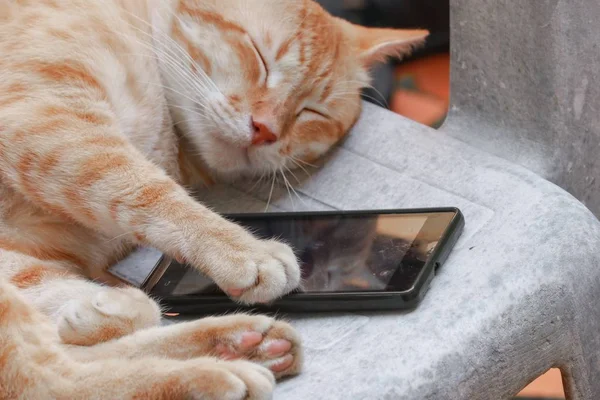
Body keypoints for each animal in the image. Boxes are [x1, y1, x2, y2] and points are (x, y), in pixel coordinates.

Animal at [0, 0, 426, 396]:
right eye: (260, 57)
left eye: (311, 111)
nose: (265, 129)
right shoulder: (44, 112)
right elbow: (139, 184)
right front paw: (246, 251)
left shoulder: (26, 244)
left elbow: (55, 294)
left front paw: (102, 309)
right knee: (51, 382)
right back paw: (217, 373)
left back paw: (243, 345)